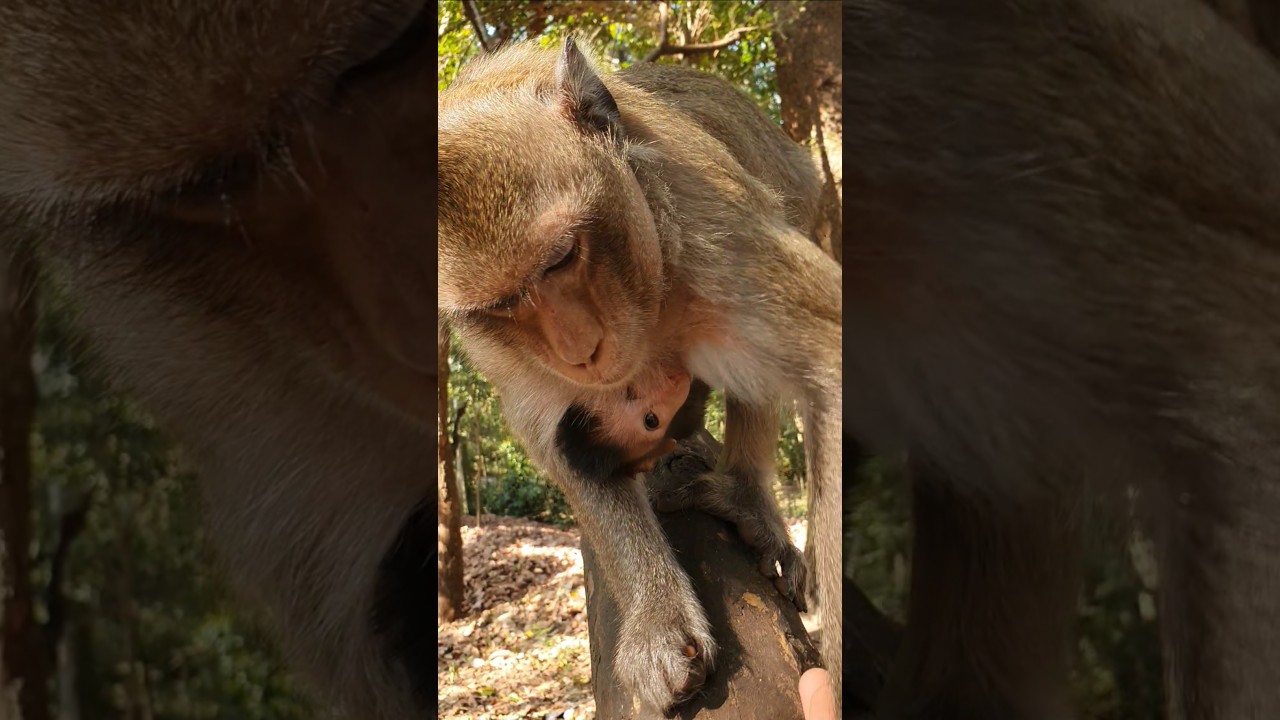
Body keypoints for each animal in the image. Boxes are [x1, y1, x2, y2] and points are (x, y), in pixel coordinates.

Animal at [437, 38, 840, 714]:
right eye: (501, 306)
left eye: (561, 259)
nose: (579, 349)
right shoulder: (510, 357)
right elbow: (562, 446)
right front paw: (658, 617)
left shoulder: (711, 232)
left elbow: (829, 365)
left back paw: (743, 494)